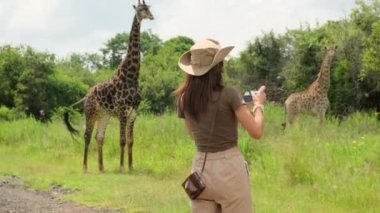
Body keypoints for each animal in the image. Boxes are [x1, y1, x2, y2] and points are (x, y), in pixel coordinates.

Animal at [64, 0, 154, 172]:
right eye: (140, 10)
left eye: (149, 8)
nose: (151, 17)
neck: (132, 76)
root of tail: (86, 95)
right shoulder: (122, 112)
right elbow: (122, 140)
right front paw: (122, 167)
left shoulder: (133, 113)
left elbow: (131, 141)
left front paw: (131, 167)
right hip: (90, 112)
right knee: (87, 136)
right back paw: (85, 167)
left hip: (103, 115)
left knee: (99, 137)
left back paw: (101, 167)